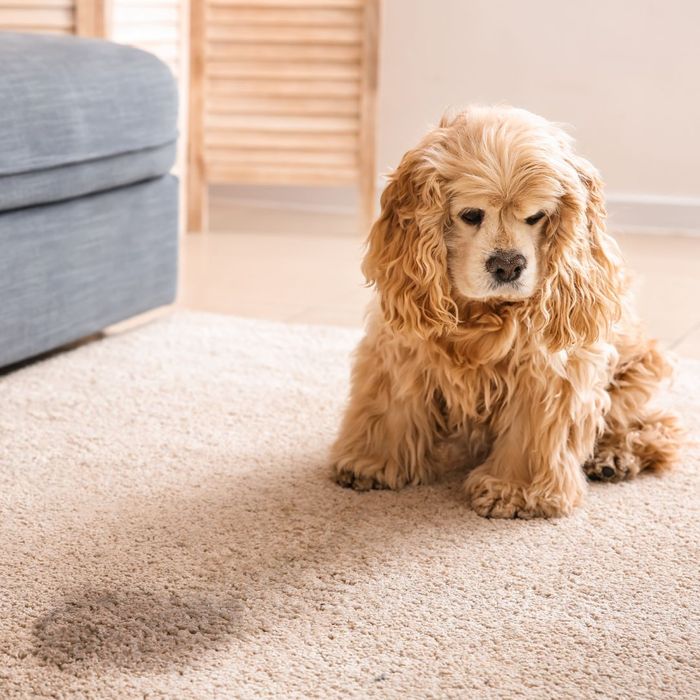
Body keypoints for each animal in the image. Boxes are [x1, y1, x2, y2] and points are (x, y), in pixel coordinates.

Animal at [330, 105, 680, 520]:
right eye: (470, 214)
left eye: (537, 216)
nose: (508, 265)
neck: (481, 313)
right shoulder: (402, 347)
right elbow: (390, 406)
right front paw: (370, 462)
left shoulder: (547, 371)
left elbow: (532, 432)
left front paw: (515, 491)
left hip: (636, 371)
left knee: (656, 425)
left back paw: (613, 457)